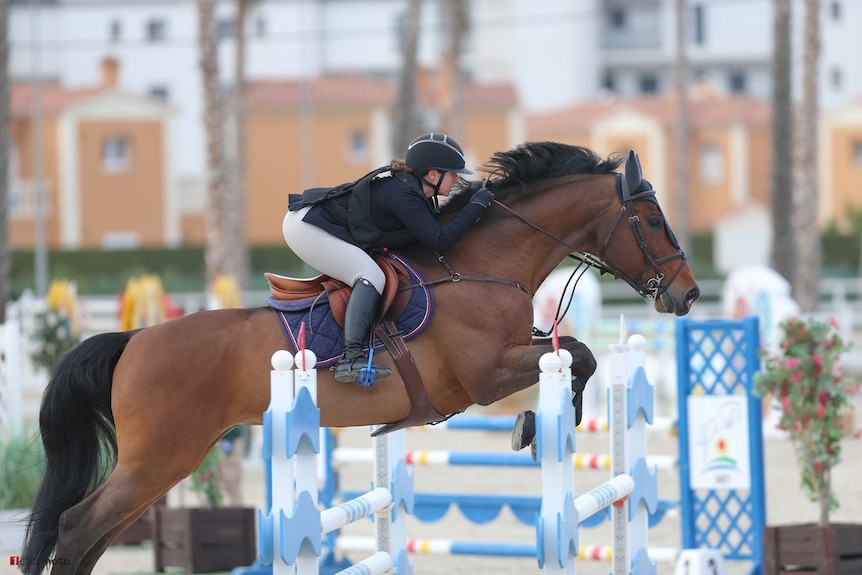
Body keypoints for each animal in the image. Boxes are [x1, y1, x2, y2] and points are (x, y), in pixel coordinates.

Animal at [22, 141, 704, 575]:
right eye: (649, 219)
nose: (689, 294)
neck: (484, 264)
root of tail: (134, 340)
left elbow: (578, 356)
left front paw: (552, 418)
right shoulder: (483, 376)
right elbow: (579, 355)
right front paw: (532, 425)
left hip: (164, 463)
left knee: (93, 535)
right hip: (161, 457)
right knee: (79, 527)